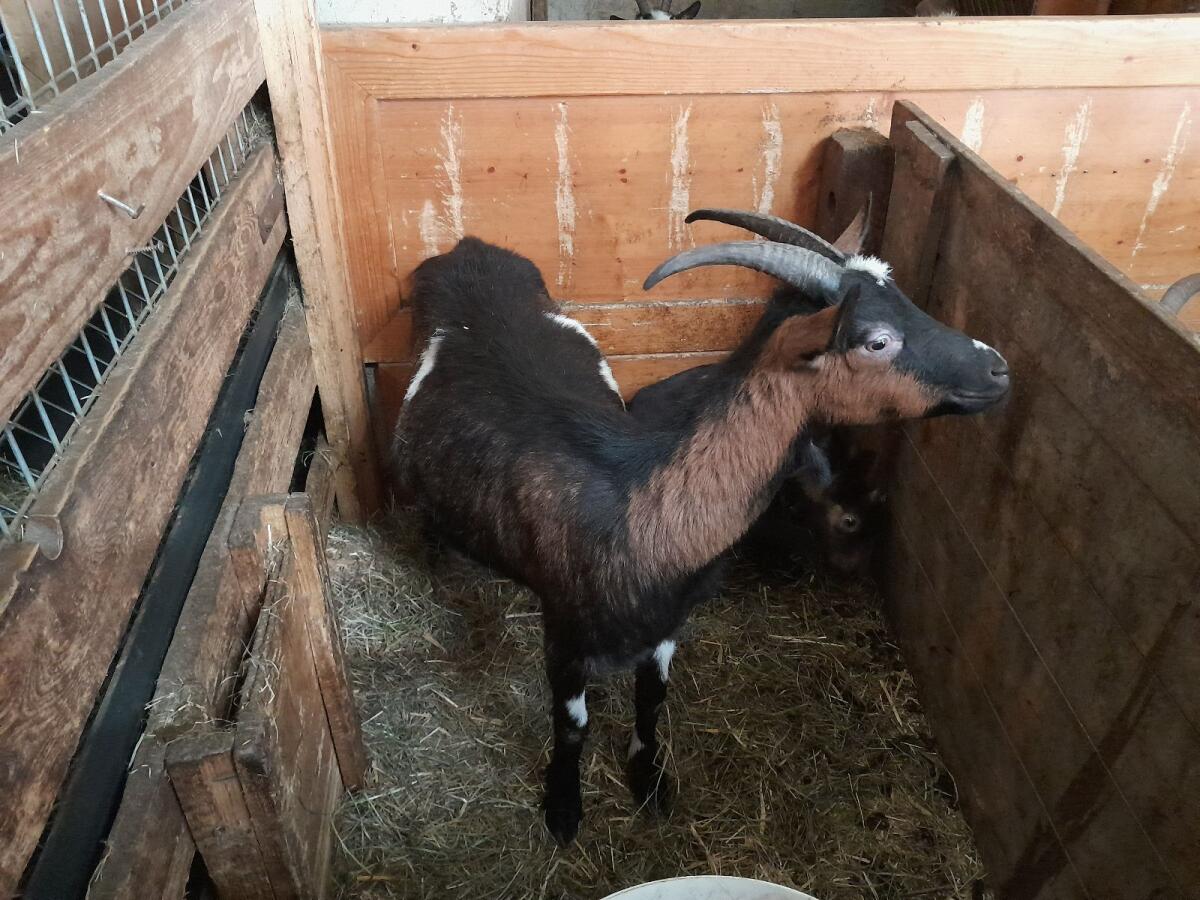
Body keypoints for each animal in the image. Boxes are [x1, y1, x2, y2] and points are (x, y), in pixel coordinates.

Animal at [392, 229, 1009, 846]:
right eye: (877, 341)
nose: (999, 369)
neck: (639, 504)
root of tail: (470, 249)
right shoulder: (564, 630)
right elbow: (571, 724)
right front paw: (563, 809)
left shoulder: (668, 622)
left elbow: (652, 698)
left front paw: (650, 779)